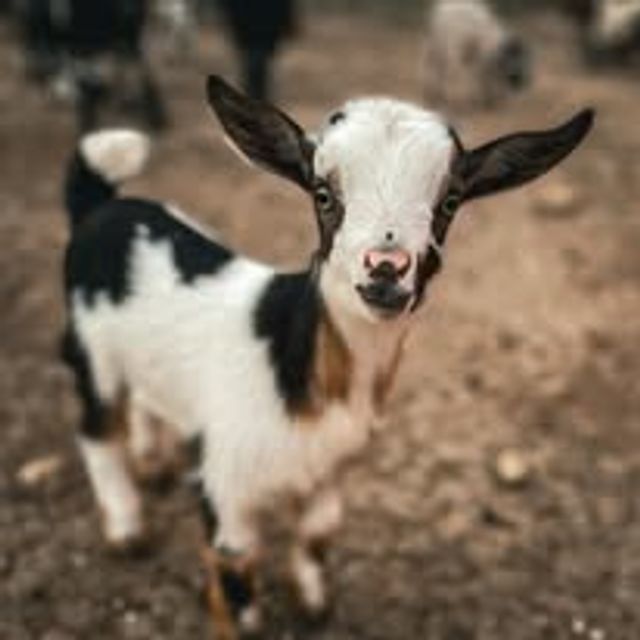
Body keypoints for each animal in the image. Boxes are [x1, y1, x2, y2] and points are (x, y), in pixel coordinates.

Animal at [61, 75, 593, 639]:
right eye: (322, 194)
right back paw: (127, 529)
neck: (292, 361)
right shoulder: (224, 478)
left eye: (451, 200)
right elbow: (236, 569)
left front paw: (313, 603)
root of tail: (103, 206)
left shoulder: (332, 466)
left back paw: (152, 463)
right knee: (97, 428)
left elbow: (318, 534)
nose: (386, 268)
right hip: (90, 348)